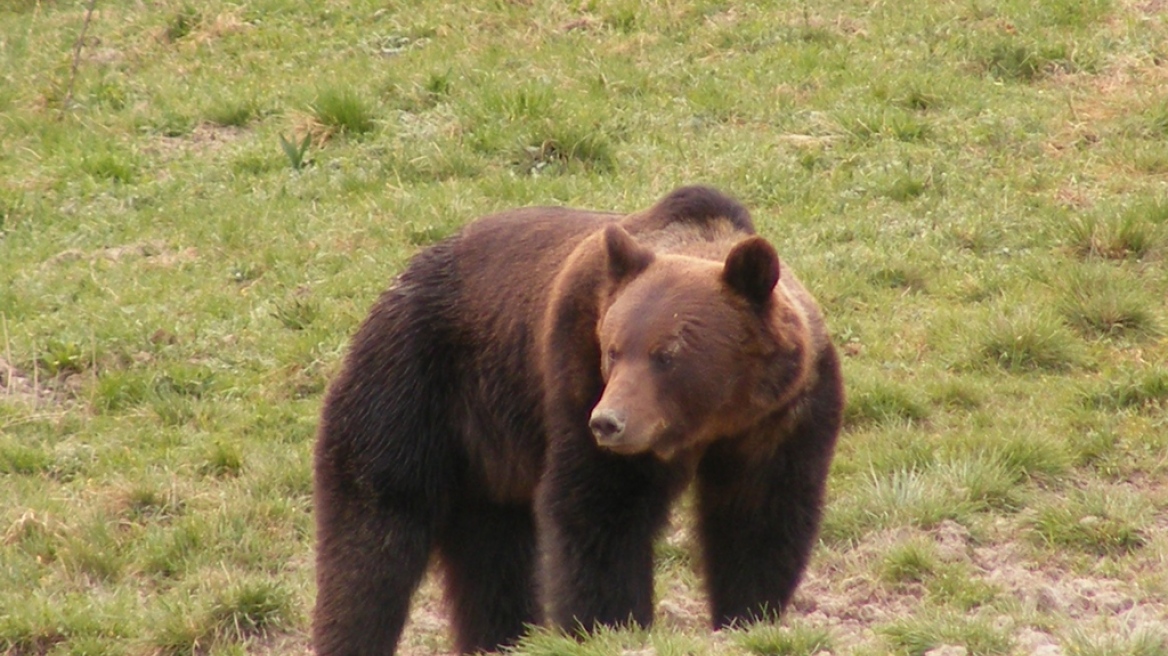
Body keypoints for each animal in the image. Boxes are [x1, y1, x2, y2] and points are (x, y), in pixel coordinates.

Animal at [310, 185, 840, 653]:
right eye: (613, 348)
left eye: (667, 354)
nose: (609, 422)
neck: (712, 421)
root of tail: (401, 275)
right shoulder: (575, 373)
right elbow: (598, 511)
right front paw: (609, 623)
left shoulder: (784, 417)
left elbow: (760, 514)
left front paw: (749, 613)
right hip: (415, 383)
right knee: (377, 524)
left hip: (490, 453)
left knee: (493, 551)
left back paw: (502, 639)